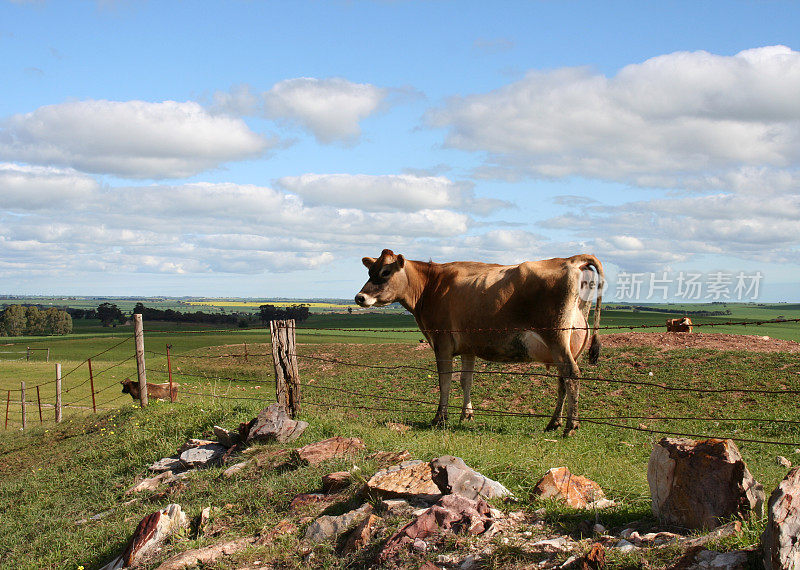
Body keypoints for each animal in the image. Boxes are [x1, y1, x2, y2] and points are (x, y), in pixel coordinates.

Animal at [354, 248, 604, 434]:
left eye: (386, 272)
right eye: (370, 271)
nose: (359, 297)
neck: (430, 286)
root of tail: (570, 260)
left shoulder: (442, 342)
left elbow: (445, 380)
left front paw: (440, 418)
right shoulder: (468, 347)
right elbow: (466, 380)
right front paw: (467, 414)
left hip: (556, 337)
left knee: (572, 375)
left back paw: (570, 426)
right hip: (571, 344)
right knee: (563, 380)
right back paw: (554, 423)